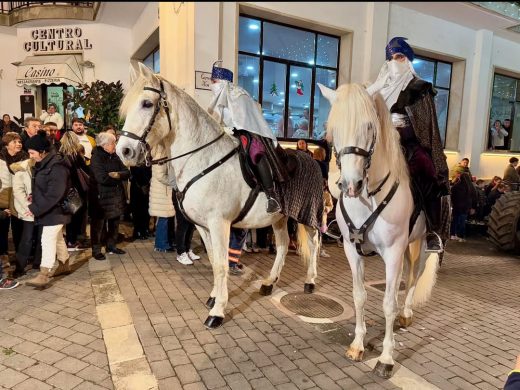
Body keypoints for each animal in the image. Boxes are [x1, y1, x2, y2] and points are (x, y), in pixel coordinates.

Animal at [116, 64, 322, 330]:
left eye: (147, 104)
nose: (124, 151)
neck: (202, 159)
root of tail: (313, 160)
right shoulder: (203, 226)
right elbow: (214, 261)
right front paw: (214, 297)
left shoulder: (219, 224)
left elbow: (223, 264)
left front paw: (218, 312)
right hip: (279, 218)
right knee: (284, 246)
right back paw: (269, 283)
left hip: (308, 216)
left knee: (314, 244)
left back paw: (310, 281)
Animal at [316, 84, 438, 380]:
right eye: (333, 129)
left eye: (369, 126)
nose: (350, 185)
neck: (369, 197)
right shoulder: (352, 250)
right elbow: (359, 296)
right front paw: (358, 345)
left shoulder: (392, 252)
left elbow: (388, 304)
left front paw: (385, 358)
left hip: (419, 244)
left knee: (414, 276)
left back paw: (407, 313)